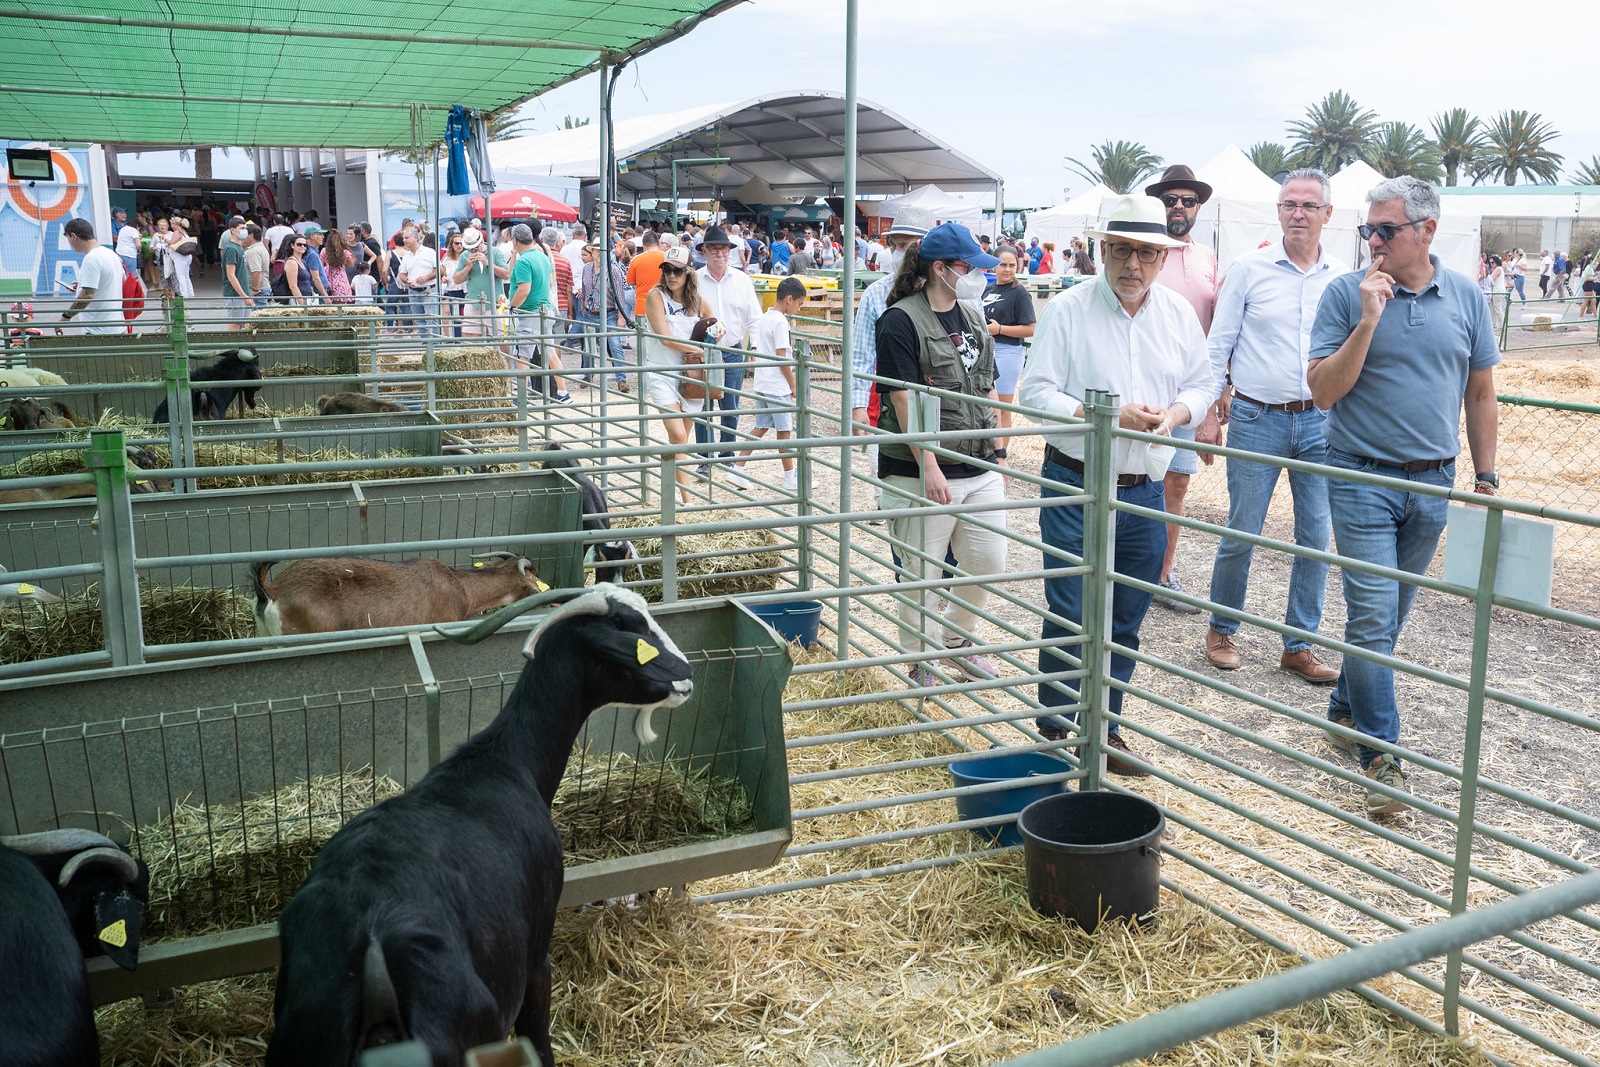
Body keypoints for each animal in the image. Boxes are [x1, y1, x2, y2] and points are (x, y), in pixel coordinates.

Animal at [267, 585, 694, 1067]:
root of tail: (377, 986)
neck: (504, 762)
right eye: (631, 627)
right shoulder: (536, 955)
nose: (687, 678)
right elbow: (538, 1036)